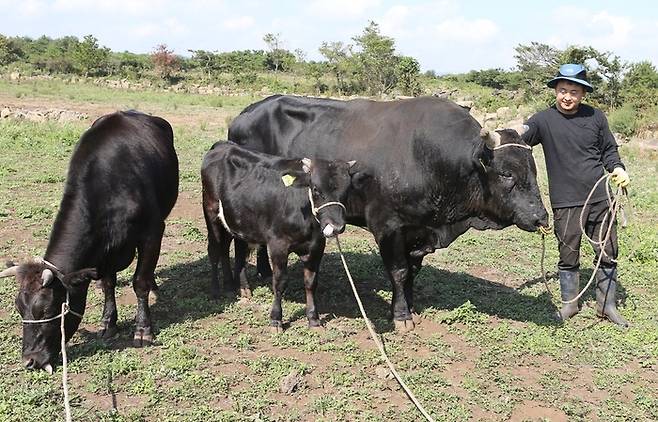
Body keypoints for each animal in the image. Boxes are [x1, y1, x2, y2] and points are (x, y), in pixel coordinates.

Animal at [0, 109, 178, 372]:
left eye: (48, 310)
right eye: (19, 308)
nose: (29, 361)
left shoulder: (152, 232)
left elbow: (140, 282)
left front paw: (143, 329)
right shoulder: (103, 253)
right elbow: (108, 284)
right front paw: (108, 323)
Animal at [201, 143, 364, 332]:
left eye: (347, 190)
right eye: (316, 189)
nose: (336, 226)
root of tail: (223, 145)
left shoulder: (317, 246)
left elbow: (311, 282)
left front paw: (313, 319)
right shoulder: (277, 244)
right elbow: (279, 281)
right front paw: (276, 319)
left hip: (234, 219)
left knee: (231, 248)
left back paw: (235, 287)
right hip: (211, 212)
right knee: (214, 250)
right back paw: (216, 291)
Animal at [228, 94, 544, 332]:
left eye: (533, 168)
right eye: (506, 173)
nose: (540, 216)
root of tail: (245, 113)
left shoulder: (419, 231)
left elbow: (412, 271)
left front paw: (409, 305)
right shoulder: (388, 227)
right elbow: (399, 271)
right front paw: (402, 315)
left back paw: (264, 270)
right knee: (240, 241)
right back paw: (244, 287)